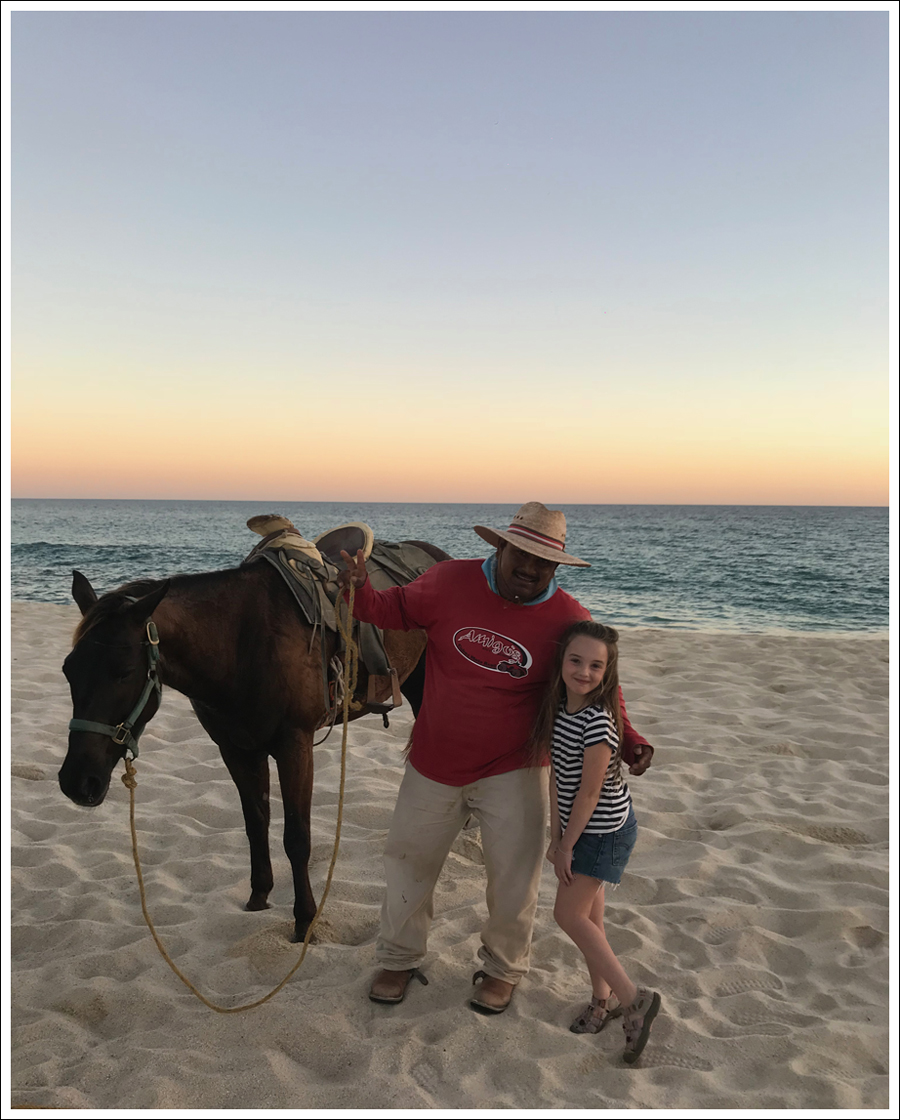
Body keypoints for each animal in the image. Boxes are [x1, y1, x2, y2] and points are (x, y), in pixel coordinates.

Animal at [59, 542, 448, 942]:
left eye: (124, 672)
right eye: (68, 670)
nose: (77, 781)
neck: (238, 645)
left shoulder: (295, 748)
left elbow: (297, 837)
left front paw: (305, 919)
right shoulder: (237, 749)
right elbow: (255, 822)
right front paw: (258, 896)